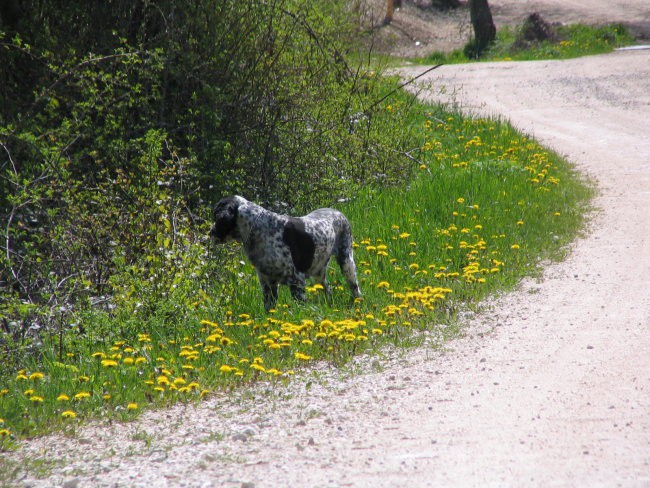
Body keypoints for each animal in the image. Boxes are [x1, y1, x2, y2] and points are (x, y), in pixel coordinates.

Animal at [210, 196, 360, 310]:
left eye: (216, 217)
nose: (210, 233)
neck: (260, 229)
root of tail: (337, 212)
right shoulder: (267, 283)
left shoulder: (296, 280)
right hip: (319, 273)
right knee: (327, 291)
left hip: (347, 263)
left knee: (355, 289)